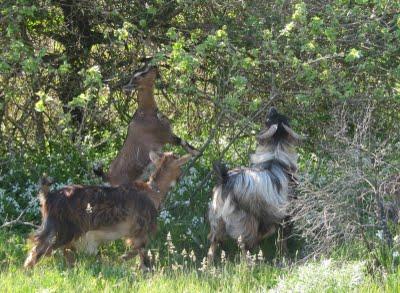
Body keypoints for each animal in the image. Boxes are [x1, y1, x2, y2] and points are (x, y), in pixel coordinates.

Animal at [24, 151, 193, 270]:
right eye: (180, 164)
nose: (182, 175)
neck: (152, 192)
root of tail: (48, 196)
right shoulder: (140, 230)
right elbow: (141, 251)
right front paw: (125, 260)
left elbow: (139, 252)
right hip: (60, 231)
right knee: (38, 250)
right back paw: (27, 271)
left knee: (63, 252)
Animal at [208, 107, 302, 262]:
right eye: (271, 118)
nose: (272, 108)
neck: (275, 157)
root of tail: (225, 179)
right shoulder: (285, 216)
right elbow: (282, 239)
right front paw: (285, 256)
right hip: (245, 221)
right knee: (243, 244)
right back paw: (248, 264)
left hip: (218, 220)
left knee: (213, 243)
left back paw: (208, 265)